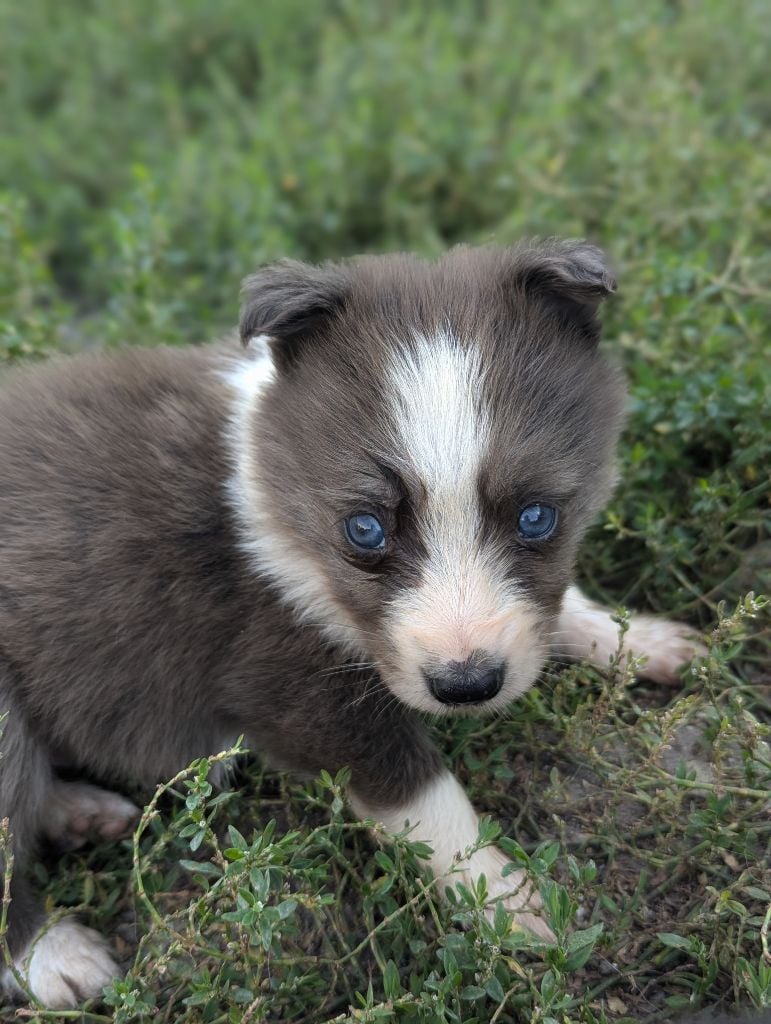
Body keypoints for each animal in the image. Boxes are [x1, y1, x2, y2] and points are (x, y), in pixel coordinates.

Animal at [0, 241, 696, 1007]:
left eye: (537, 516)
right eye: (363, 528)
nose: (467, 685)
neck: (274, 501)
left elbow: (560, 607)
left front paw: (638, 639)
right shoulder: (299, 695)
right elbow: (429, 801)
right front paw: (511, 905)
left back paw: (77, 812)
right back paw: (53, 953)